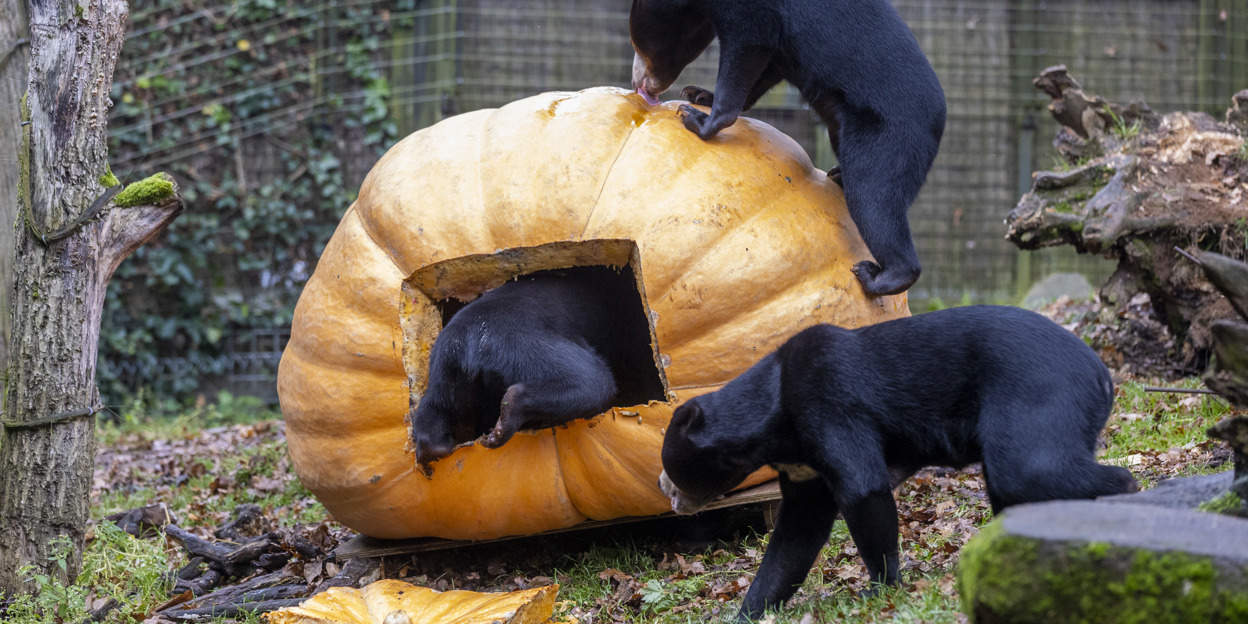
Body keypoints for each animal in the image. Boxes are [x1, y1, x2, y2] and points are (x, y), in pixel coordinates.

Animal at [411, 266, 663, 471]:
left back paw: (437, 447)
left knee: (434, 406)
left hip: (445, 368)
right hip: (522, 347)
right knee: (591, 380)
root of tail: (470, 339)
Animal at [628, 0, 946, 297]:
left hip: (887, 140)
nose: (638, 84)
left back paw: (874, 276)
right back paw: (837, 174)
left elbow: (744, 54)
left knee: (874, 201)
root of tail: (940, 125)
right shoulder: (777, 50)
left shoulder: (753, 17)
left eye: (638, 44)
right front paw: (698, 94)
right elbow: (763, 70)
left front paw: (697, 119)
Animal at [656, 305, 1138, 622]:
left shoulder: (829, 406)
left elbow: (863, 490)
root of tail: (1102, 374)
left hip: (1038, 395)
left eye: (673, 469)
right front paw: (750, 611)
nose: (664, 488)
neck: (777, 425)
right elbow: (796, 535)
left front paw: (881, 591)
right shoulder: (803, 468)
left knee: (1030, 469)